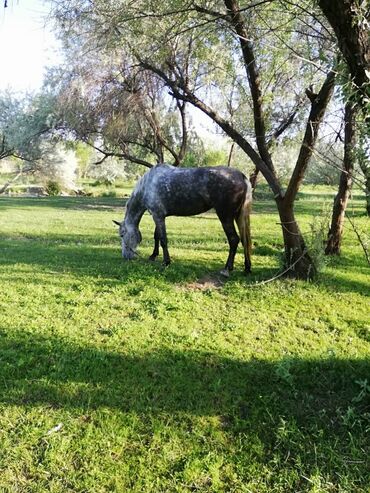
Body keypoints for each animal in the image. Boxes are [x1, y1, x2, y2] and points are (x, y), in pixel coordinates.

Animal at [112, 163, 251, 274]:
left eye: (122, 235)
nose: (126, 256)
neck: (148, 185)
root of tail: (241, 175)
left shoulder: (158, 216)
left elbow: (163, 239)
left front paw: (166, 262)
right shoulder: (158, 216)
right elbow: (157, 236)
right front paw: (153, 255)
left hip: (225, 217)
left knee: (234, 240)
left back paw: (227, 268)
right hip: (238, 217)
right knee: (245, 240)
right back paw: (247, 268)